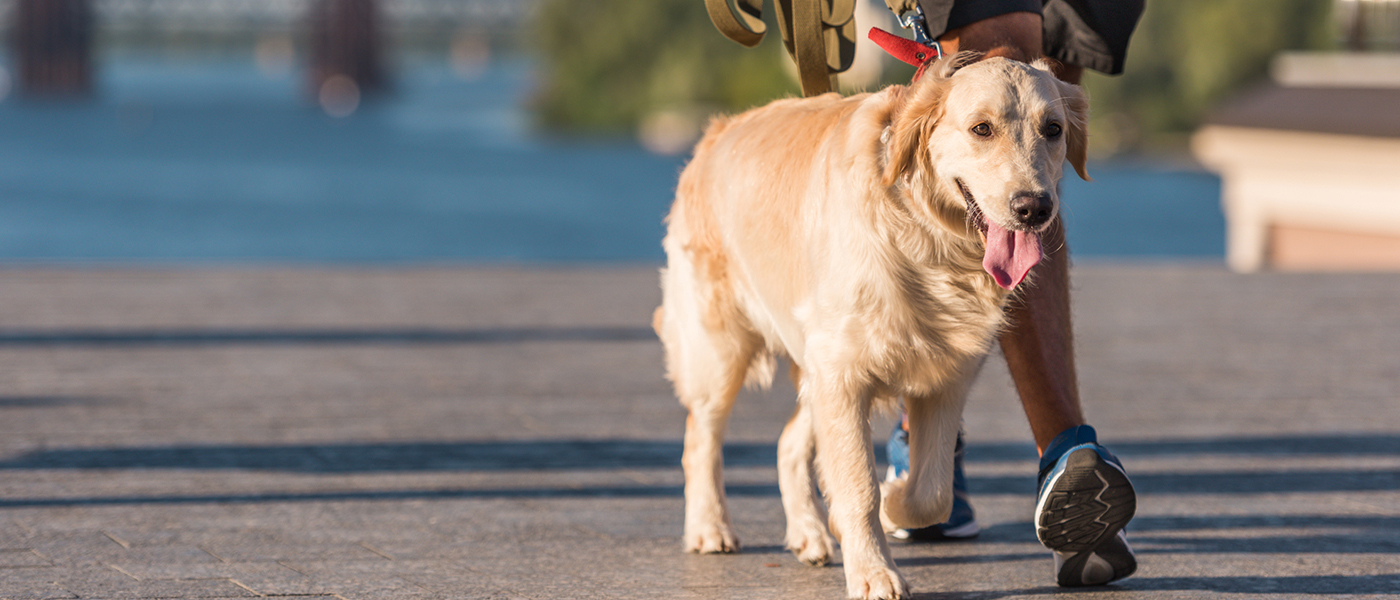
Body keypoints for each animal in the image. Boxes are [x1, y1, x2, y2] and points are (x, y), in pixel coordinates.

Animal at [649, 53, 1086, 595]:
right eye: (981, 129)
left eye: (1053, 130)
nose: (1034, 207)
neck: (931, 241)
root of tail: (716, 131)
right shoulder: (842, 373)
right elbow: (858, 487)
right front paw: (875, 572)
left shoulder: (945, 379)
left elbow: (932, 492)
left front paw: (894, 502)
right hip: (721, 348)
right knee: (700, 439)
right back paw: (709, 526)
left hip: (811, 364)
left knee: (788, 443)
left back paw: (809, 532)